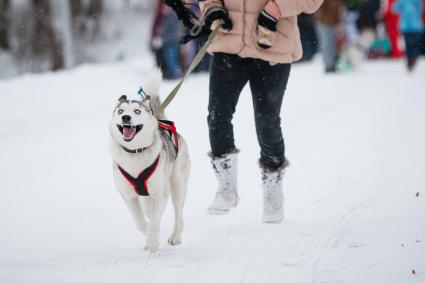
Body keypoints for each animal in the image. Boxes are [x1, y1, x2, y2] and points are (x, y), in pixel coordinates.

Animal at [109, 71, 190, 253]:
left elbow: (154, 222)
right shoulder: (128, 196)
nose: (126, 117)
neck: (135, 152)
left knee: (179, 215)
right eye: (120, 111)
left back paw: (175, 236)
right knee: (149, 211)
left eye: (137, 111)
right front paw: (148, 236)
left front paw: (152, 241)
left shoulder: (160, 194)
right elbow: (140, 222)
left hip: (177, 185)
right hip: (146, 199)